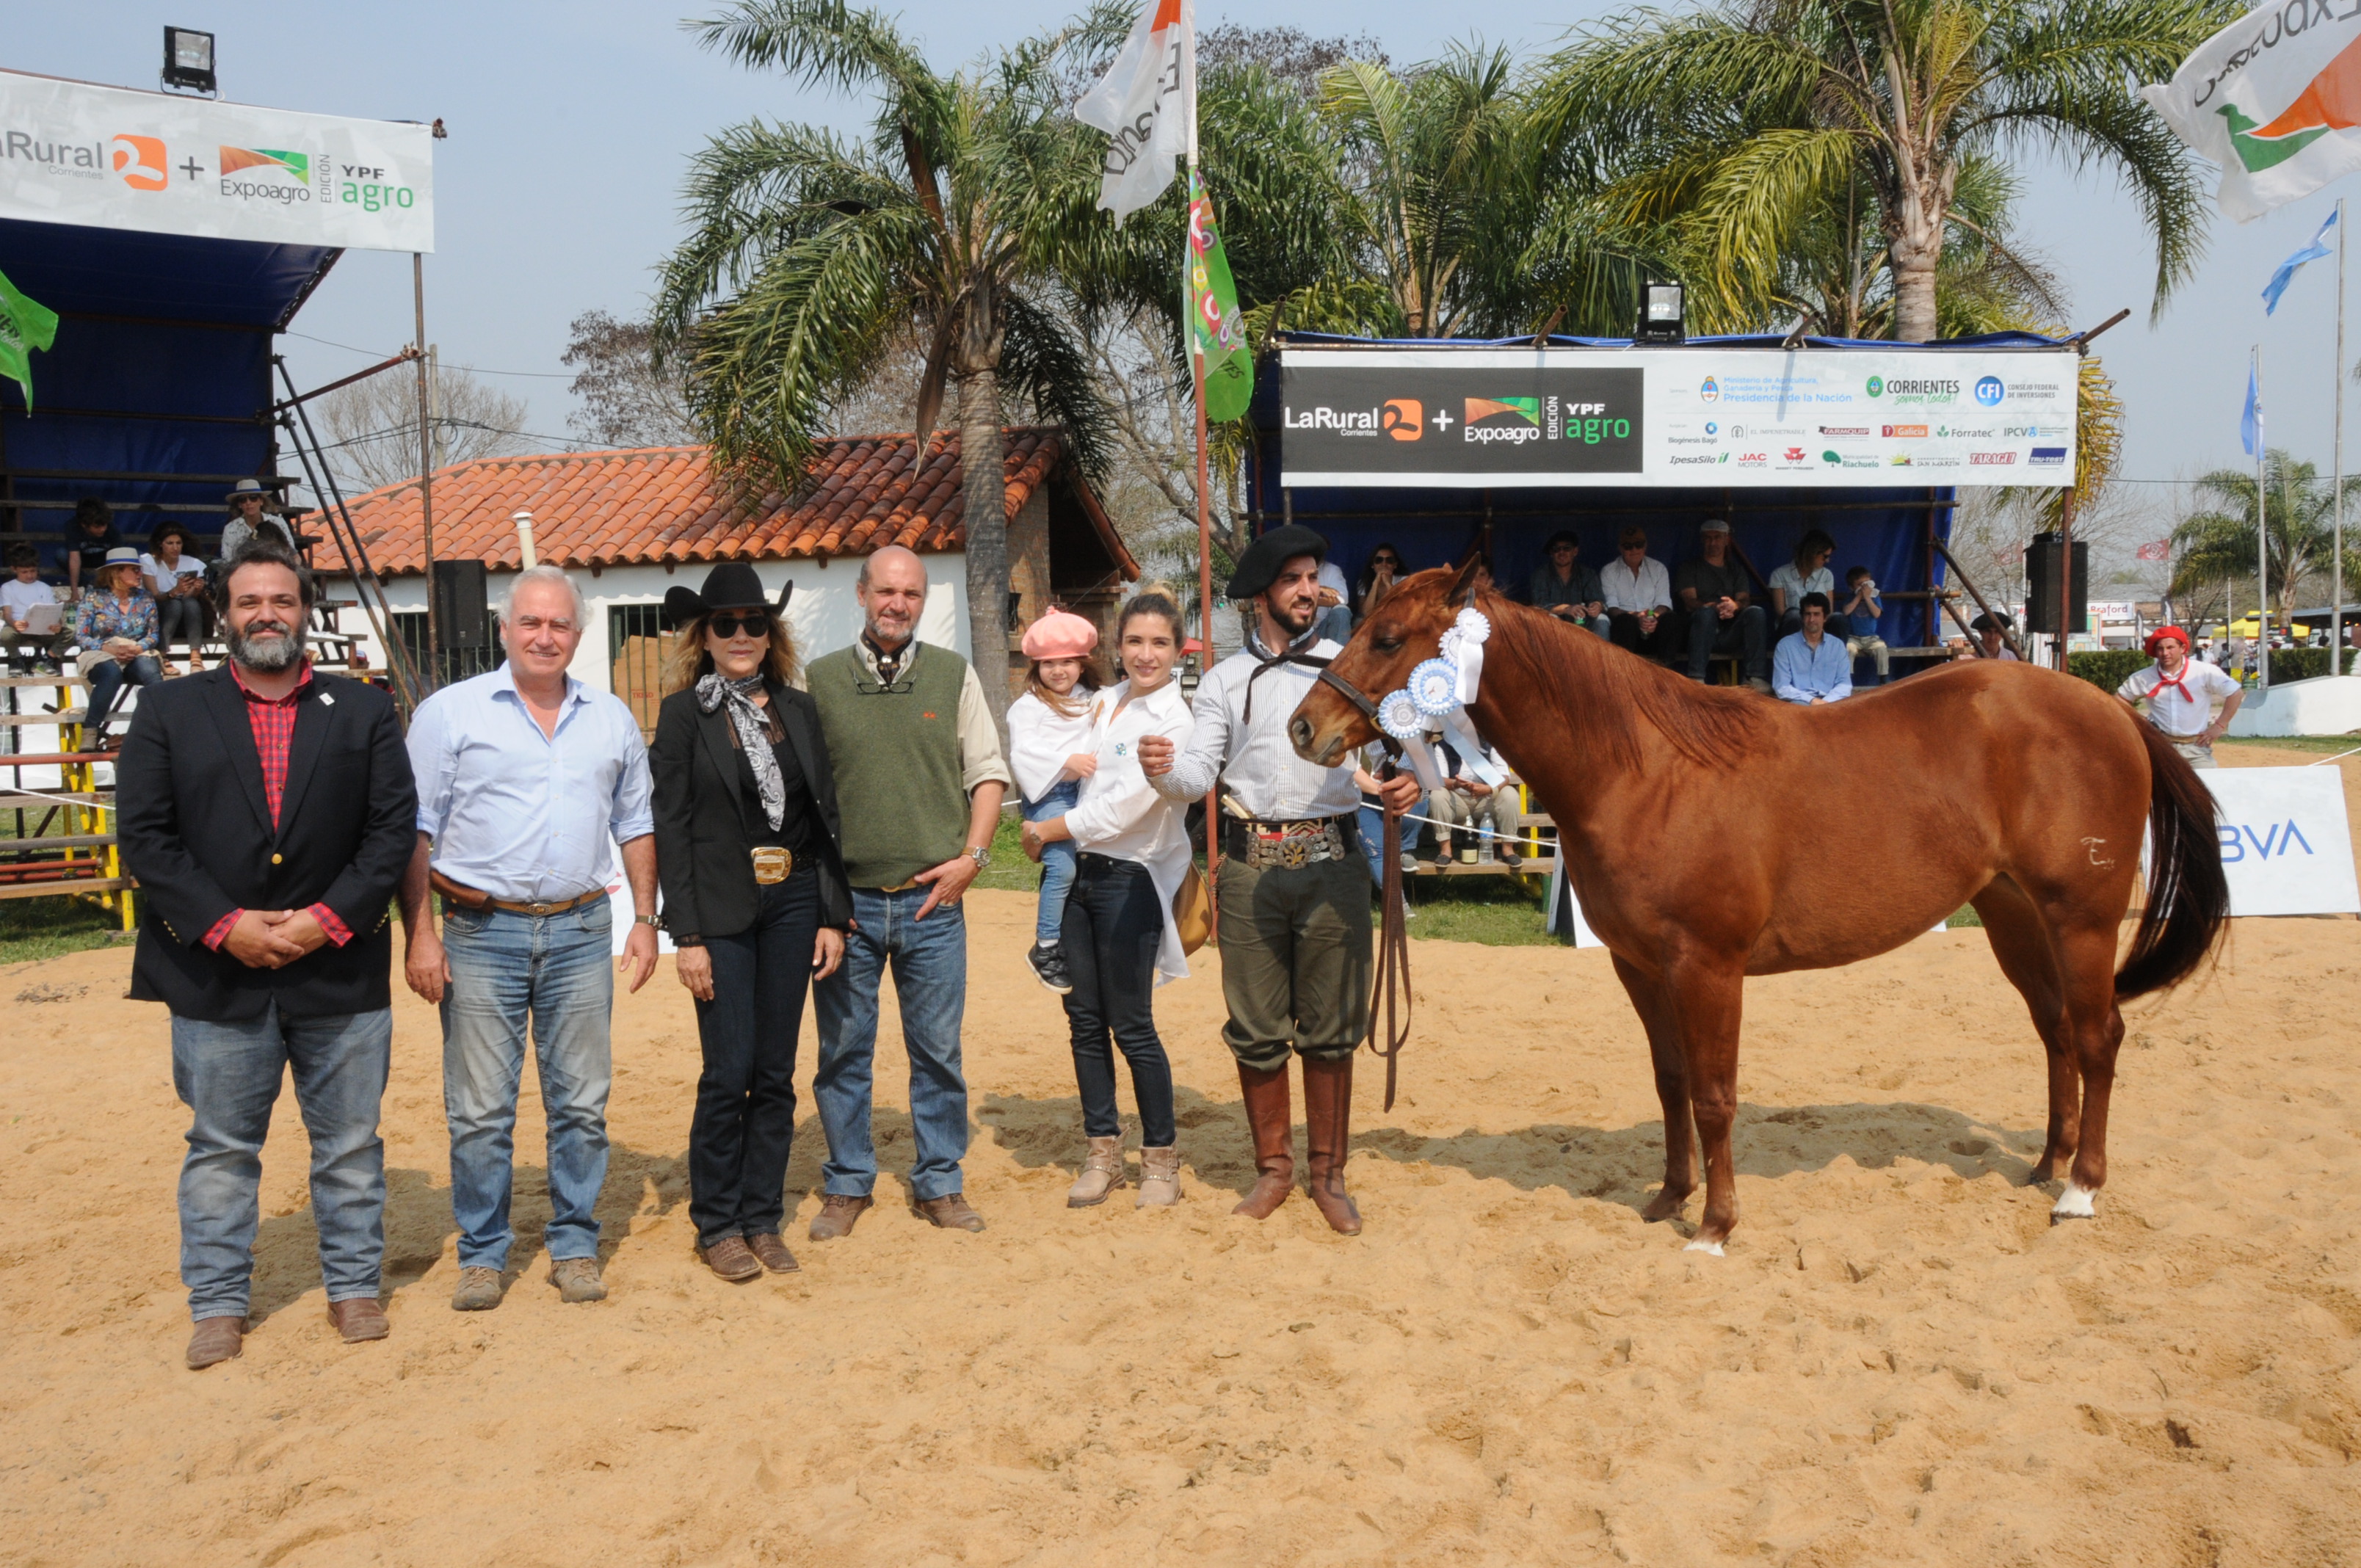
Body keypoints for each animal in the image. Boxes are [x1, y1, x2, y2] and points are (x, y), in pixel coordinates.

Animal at [1294, 559, 2228, 1246]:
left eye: (1386, 636)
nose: (1306, 729)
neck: (1647, 771)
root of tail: (2113, 712)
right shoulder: (1642, 967)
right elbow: (1672, 1082)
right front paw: (1668, 1200)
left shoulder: (1709, 967)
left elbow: (1715, 1094)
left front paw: (1715, 1225)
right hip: (2014, 916)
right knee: (2057, 1033)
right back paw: (2045, 1167)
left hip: (2082, 919)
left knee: (2099, 1038)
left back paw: (2080, 1191)